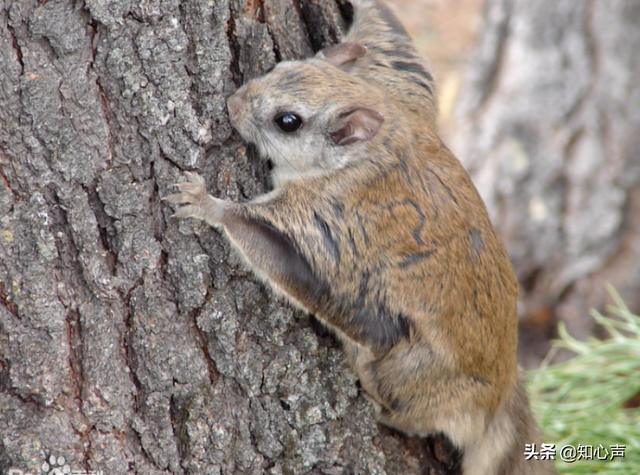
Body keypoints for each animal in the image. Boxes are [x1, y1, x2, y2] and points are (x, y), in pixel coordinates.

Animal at [164, 1, 556, 474]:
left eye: (288, 122)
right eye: (280, 65)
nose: (233, 102)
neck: (371, 148)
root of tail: (500, 395)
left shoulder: (327, 218)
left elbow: (274, 249)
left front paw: (206, 203)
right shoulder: (402, 84)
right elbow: (394, 38)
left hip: (410, 369)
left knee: (416, 414)